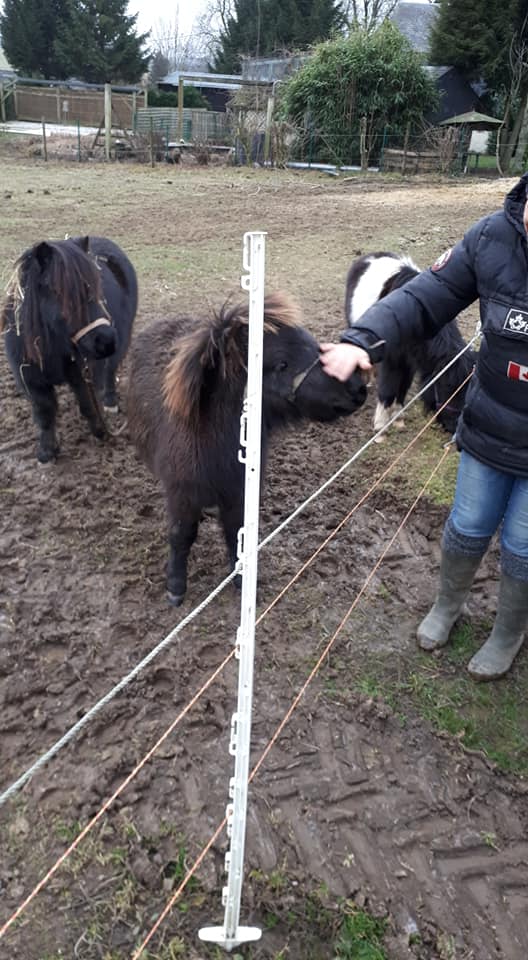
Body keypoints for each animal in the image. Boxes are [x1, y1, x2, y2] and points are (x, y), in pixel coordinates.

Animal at [1, 235, 138, 462]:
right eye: (62, 293)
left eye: (97, 287)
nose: (107, 341)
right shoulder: (30, 379)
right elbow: (45, 412)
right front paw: (47, 452)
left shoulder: (83, 373)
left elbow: (88, 403)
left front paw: (100, 431)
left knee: (110, 371)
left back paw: (110, 402)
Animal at [127, 292, 368, 605]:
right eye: (281, 364)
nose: (358, 389)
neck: (214, 444)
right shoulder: (182, 495)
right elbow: (181, 536)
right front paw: (176, 587)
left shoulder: (238, 494)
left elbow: (236, 534)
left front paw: (242, 580)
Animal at [345, 251, 476, 437]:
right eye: (446, 387)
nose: (453, 428)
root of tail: (369, 257)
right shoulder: (392, 360)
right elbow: (388, 389)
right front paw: (380, 428)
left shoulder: (410, 362)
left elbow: (403, 387)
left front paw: (398, 420)